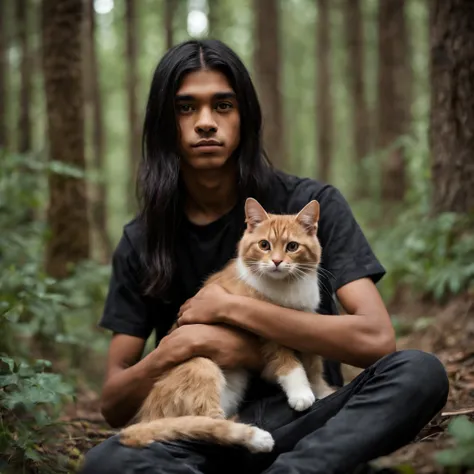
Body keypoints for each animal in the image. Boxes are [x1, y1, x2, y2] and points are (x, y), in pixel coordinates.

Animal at [120, 198, 336, 454]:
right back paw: (255, 436)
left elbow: (313, 363)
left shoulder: (306, 323)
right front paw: (301, 392)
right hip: (201, 365)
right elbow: (288, 362)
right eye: (264, 245)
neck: (287, 288)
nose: (276, 262)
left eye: (292, 246)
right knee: (206, 423)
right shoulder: (266, 327)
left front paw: (321, 390)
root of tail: (147, 415)